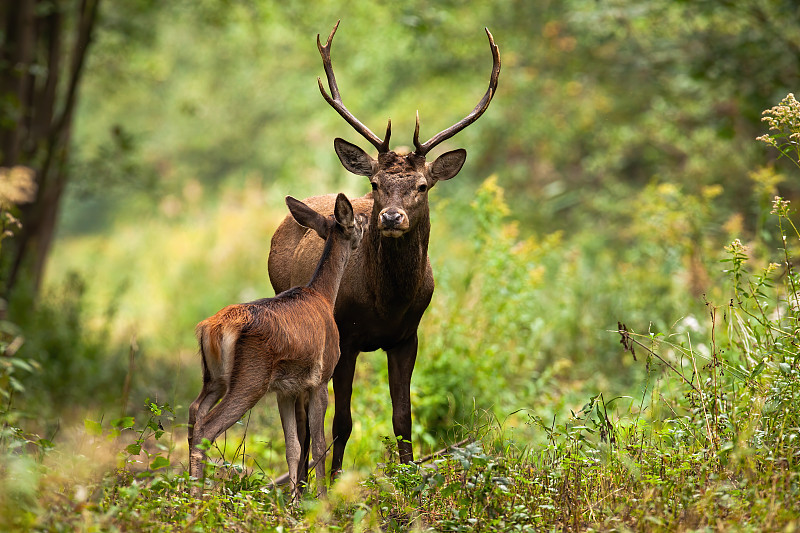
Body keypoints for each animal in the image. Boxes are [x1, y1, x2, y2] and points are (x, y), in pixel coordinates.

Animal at [189, 193, 364, 496]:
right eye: (357, 222)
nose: (367, 225)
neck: (323, 296)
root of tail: (212, 328)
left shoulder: (285, 389)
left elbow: (292, 447)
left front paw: (294, 499)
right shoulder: (320, 378)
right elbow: (319, 445)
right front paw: (321, 497)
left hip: (214, 377)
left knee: (194, 412)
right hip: (251, 378)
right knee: (207, 428)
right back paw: (196, 499)